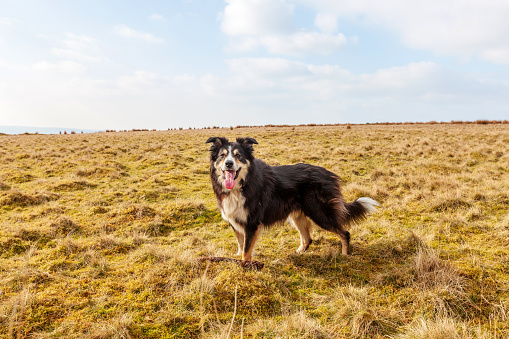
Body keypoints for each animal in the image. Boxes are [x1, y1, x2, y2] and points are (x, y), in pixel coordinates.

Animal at [205, 137, 378, 264]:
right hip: (297, 215)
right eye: (222, 156)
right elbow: (241, 244)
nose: (229, 164)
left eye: (238, 155)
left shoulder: (251, 223)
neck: (243, 183)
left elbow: (247, 250)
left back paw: (345, 255)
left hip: (319, 212)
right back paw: (298, 253)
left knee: (344, 233)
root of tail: (328, 174)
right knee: (307, 239)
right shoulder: (236, 220)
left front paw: (244, 267)